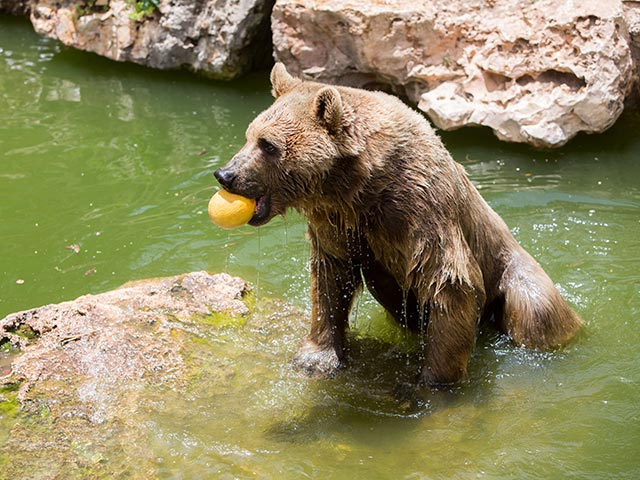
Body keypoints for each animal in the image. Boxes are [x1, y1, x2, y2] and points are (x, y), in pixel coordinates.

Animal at [215, 63, 584, 386]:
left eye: (268, 145)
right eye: (249, 136)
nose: (226, 175)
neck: (359, 186)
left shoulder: (422, 208)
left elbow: (450, 283)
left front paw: (430, 382)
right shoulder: (336, 221)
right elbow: (331, 276)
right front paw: (316, 357)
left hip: (516, 278)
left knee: (535, 312)